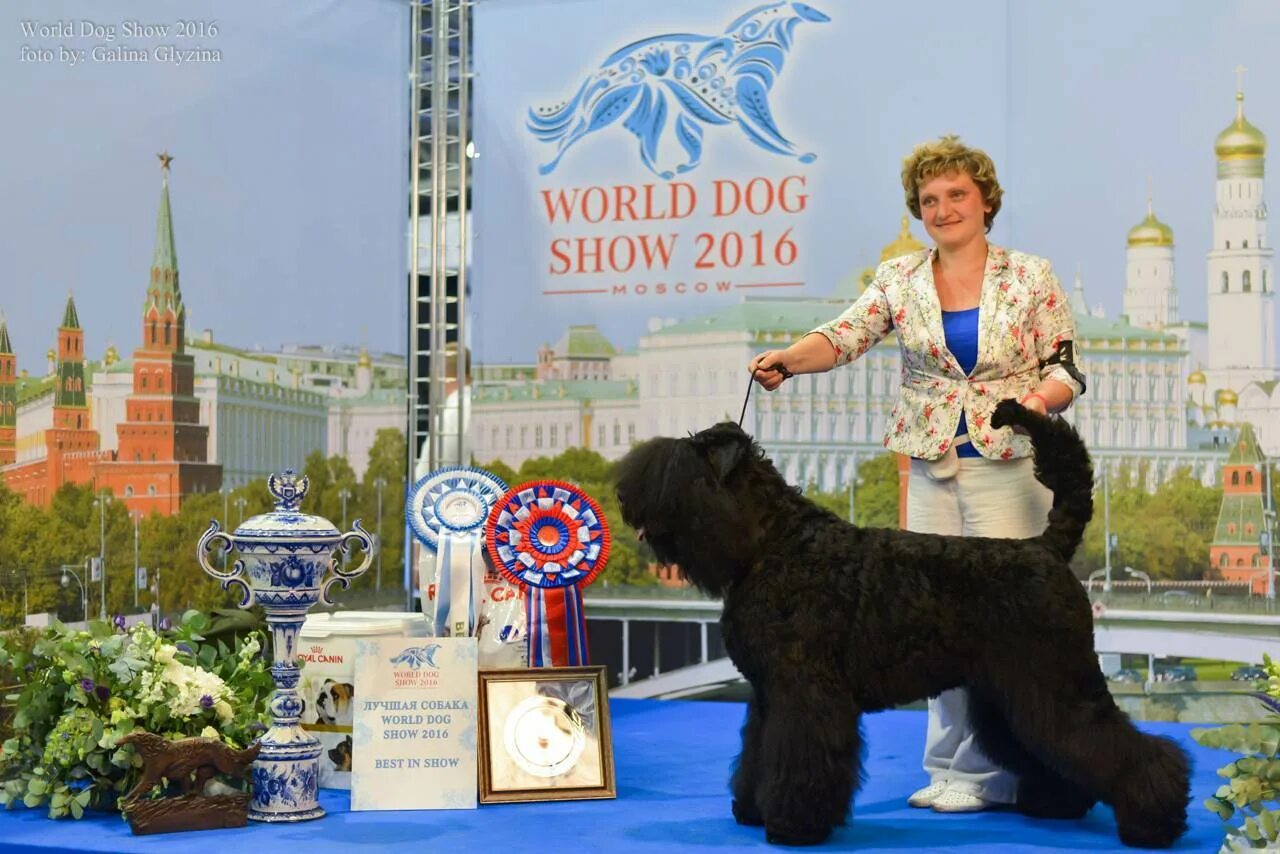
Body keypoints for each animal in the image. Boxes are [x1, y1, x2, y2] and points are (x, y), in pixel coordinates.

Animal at [614, 399, 1182, 850]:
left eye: (680, 467)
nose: (625, 499)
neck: (775, 540)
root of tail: (1046, 548)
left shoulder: (805, 691)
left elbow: (799, 755)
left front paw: (794, 825)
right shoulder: (768, 692)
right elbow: (758, 751)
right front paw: (752, 809)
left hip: (1056, 682)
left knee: (1124, 746)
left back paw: (1154, 823)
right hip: (1014, 693)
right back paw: (1059, 805)